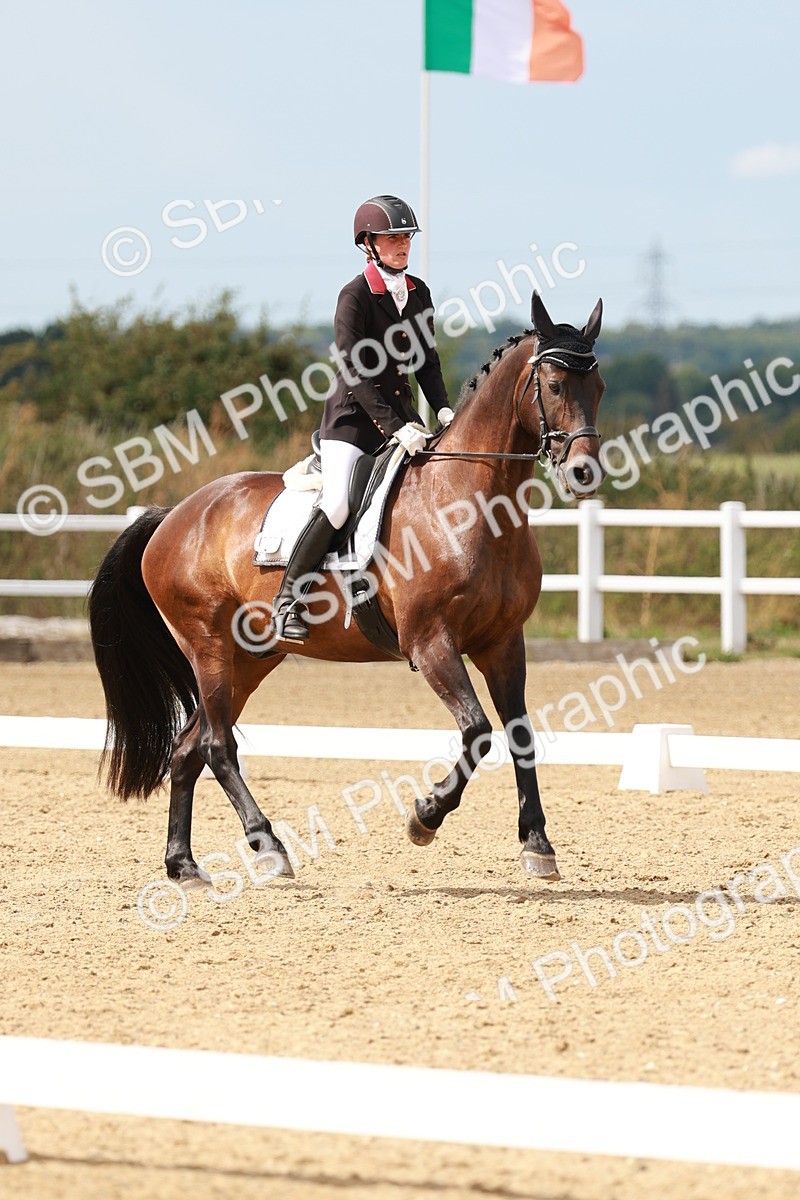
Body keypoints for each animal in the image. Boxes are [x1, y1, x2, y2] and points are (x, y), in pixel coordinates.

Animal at [88, 291, 605, 886]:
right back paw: (268, 846)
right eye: (555, 385)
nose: (585, 473)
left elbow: (519, 733)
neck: (468, 500)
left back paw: (184, 863)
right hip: (209, 646)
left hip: (252, 658)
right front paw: (425, 817)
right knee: (217, 745)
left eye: (599, 386)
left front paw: (538, 844)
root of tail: (174, 515)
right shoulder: (430, 642)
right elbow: (477, 731)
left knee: (187, 748)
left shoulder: (503, 642)